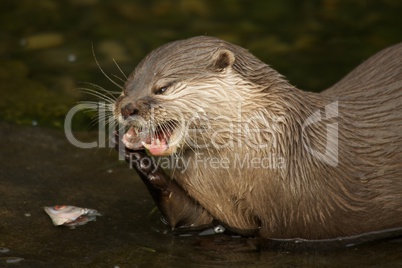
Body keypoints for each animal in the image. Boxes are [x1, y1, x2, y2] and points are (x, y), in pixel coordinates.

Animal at [111, 36, 402, 247]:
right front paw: (138, 159)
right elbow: (190, 218)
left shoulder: (299, 216)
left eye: (162, 88)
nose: (126, 108)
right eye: (124, 89)